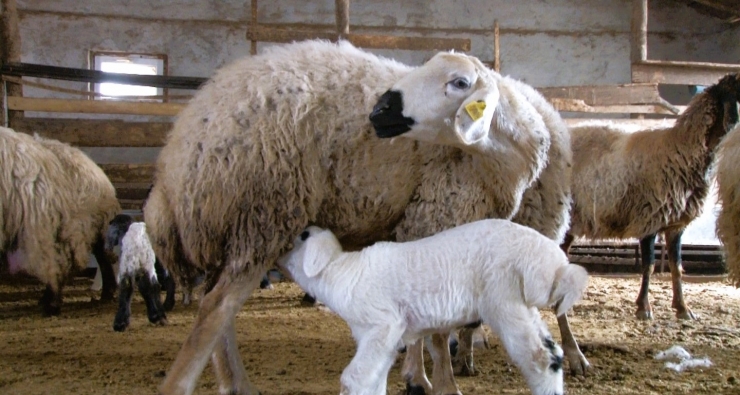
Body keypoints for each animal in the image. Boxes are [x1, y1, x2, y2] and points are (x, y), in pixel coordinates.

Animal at [1, 126, 120, 316]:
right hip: (88, 226)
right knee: (101, 255)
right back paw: (107, 293)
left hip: (59, 227)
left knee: (57, 265)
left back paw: (52, 304)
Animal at [278, 220, 588, 395]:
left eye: (302, 236)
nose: (277, 258)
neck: (342, 272)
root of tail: (552, 261)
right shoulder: (379, 339)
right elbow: (373, 380)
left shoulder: (384, 324)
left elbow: (355, 378)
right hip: (520, 302)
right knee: (552, 353)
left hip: (503, 299)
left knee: (540, 359)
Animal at [560, 72, 740, 322]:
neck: (681, 150)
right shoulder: (649, 218)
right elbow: (649, 266)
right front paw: (644, 308)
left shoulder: (675, 225)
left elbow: (677, 267)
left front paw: (683, 308)